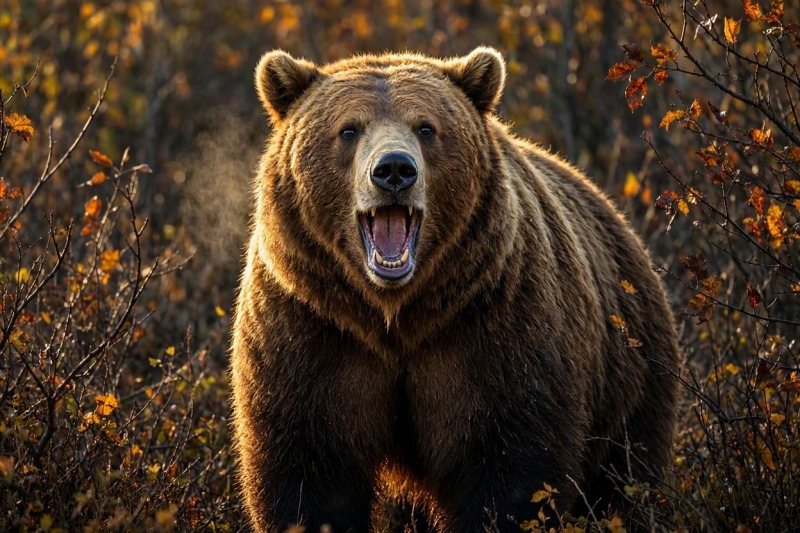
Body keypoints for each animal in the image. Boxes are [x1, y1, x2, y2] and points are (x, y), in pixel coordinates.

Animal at [230, 47, 680, 533]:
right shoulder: (311, 329)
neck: (394, 315)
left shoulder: (491, 328)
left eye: (425, 127)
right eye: (348, 128)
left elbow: (509, 471)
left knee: (623, 479)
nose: (393, 170)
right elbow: (309, 471)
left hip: (632, 377)